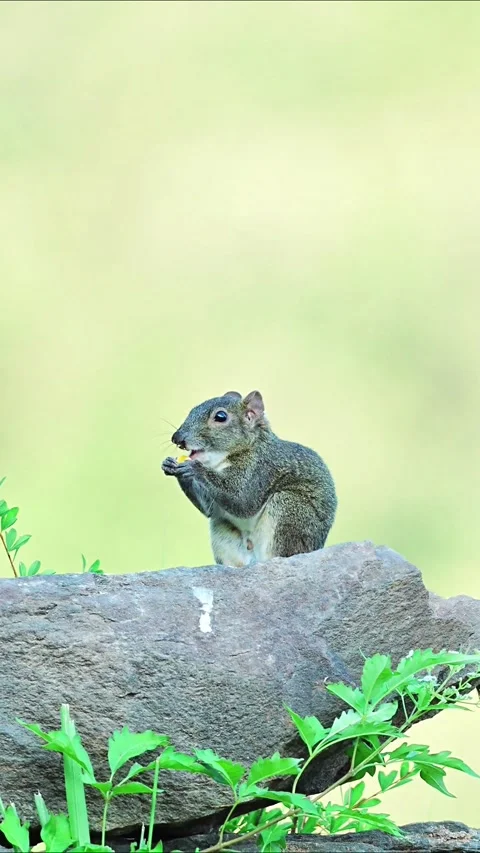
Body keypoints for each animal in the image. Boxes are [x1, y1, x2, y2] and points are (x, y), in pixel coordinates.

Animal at [162, 390, 337, 568]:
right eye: (192, 410)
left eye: (220, 416)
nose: (177, 438)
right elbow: (210, 510)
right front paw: (170, 465)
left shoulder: (261, 470)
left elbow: (243, 501)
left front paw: (194, 468)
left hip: (289, 508)